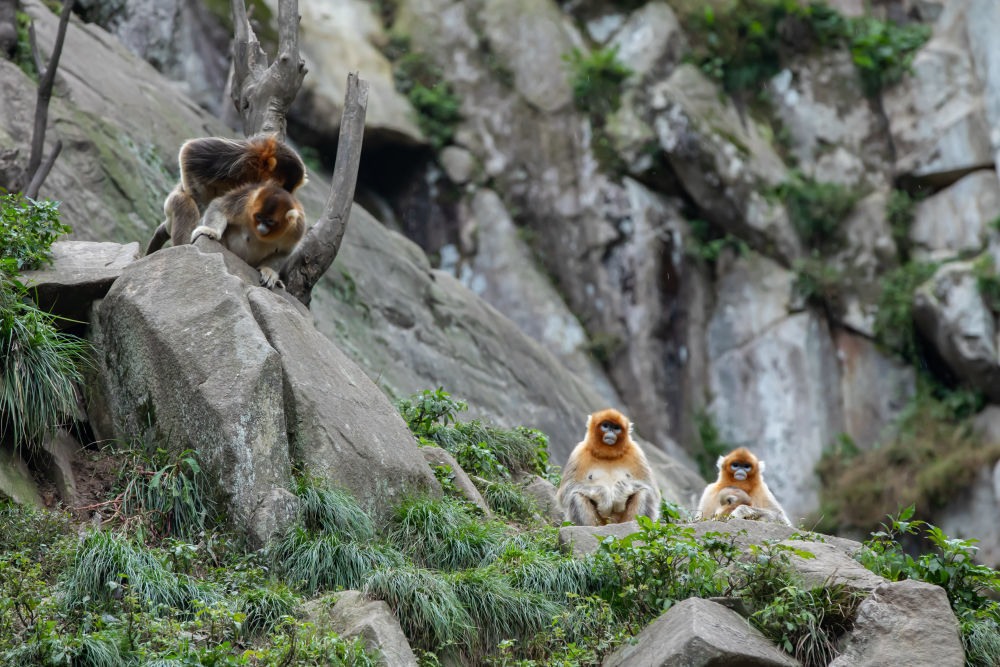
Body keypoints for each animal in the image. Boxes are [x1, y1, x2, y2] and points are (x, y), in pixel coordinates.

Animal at [146, 134, 304, 254]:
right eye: (278, 185)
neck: (254, 173)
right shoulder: (242, 155)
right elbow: (190, 149)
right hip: (169, 205)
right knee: (185, 203)